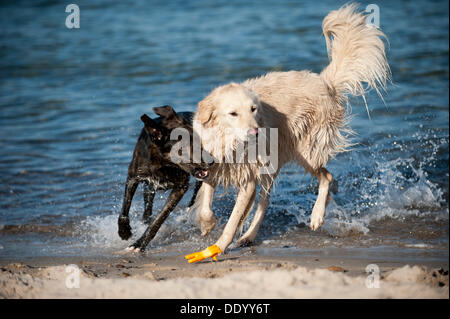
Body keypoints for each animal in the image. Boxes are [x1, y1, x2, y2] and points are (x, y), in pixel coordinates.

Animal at [118, 105, 212, 252]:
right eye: (186, 146)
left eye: (200, 142)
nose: (213, 160)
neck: (163, 163)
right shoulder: (133, 176)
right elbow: (125, 207)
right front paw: (124, 231)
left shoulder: (181, 187)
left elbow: (159, 219)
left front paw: (139, 244)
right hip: (149, 185)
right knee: (148, 203)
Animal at [185, 2, 390, 264]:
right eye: (233, 113)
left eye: (253, 109)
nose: (255, 132)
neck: (230, 144)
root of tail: (326, 82)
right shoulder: (215, 165)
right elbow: (206, 204)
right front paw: (207, 225)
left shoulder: (249, 177)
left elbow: (231, 222)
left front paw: (218, 246)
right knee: (269, 199)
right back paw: (249, 236)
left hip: (306, 150)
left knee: (325, 177)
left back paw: (316, 216)